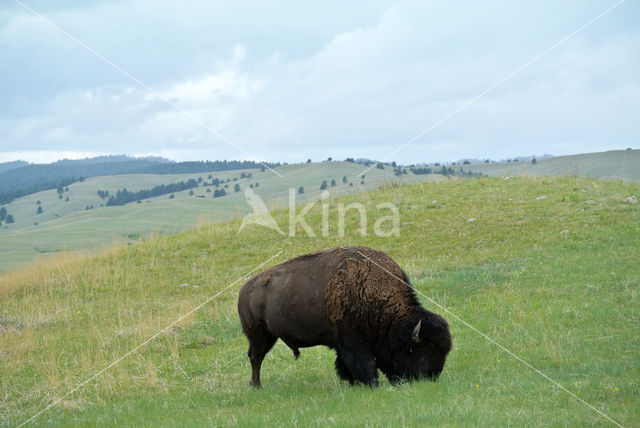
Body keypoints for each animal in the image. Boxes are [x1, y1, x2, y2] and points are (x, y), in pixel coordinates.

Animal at [235, 244, 450, 388]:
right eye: (423, 351)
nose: (430, 378)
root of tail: (244, 290)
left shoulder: (343, 343)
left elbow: (344, 364)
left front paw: (353, 382)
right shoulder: (352, 341)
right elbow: (364, 362)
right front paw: (371, 384)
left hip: (268, 336)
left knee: (255, 357)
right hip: (259, 335)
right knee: (256, 358)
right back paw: (256, 386)